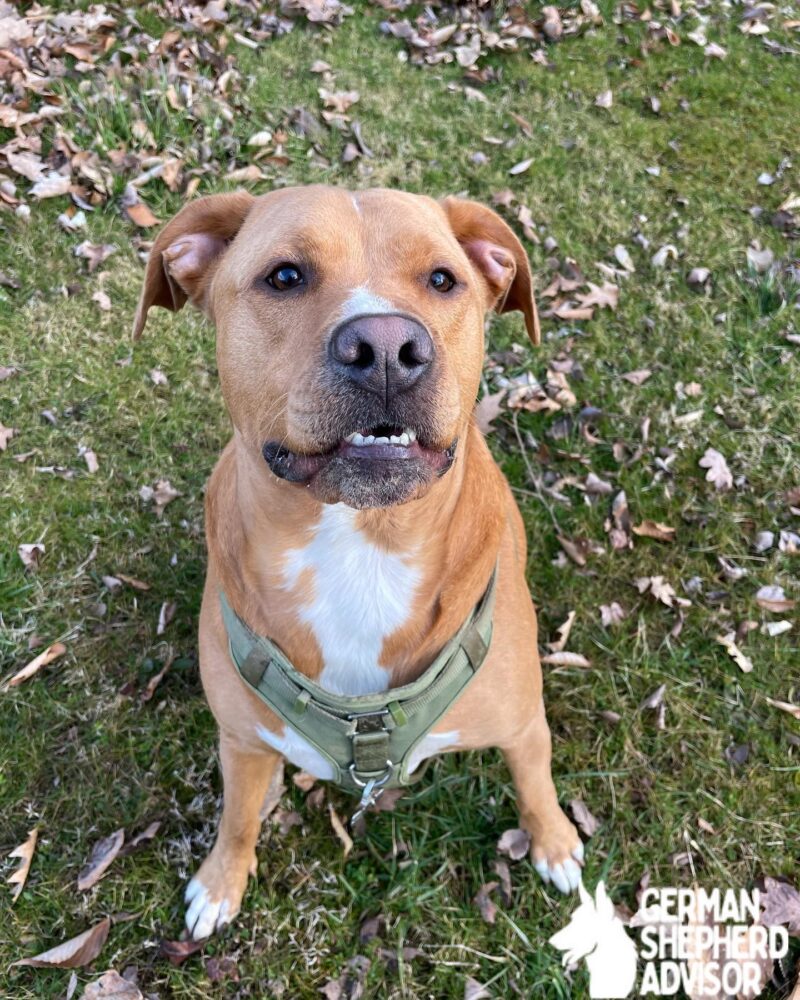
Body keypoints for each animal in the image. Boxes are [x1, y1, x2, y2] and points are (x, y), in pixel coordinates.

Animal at [134, 186, 584, 936]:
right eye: (285, 276)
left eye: (442, 280)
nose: (386, 348)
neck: (362, 546)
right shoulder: (242, 742)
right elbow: (237, 818)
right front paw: (221, 880)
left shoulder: (523, 725)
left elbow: (536, 782)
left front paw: (553, 841)